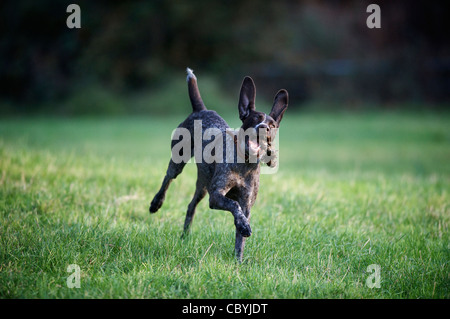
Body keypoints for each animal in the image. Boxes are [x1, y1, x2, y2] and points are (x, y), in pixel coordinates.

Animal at [148, 68, 288, 262]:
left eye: (272, 125)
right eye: (254, 119)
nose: (263, 128)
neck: (244, 164)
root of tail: (201, 109)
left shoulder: (246, 205)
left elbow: (240, 236)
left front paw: (238, 261)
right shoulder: (216, 196)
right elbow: (233, 205)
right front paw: (243, 228)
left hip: (203, 185)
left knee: (191, 206)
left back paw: (185, 237)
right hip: (178, 162)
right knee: (167, 180)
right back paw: (156, 203)